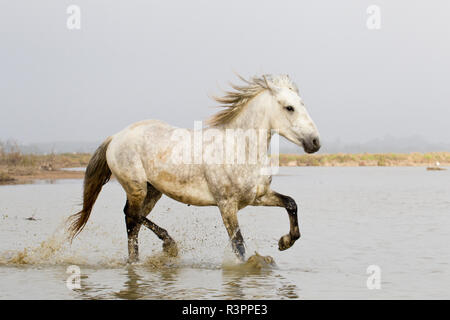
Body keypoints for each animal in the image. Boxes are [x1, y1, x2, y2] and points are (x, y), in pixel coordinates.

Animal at [67, 74, 320, 262]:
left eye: (302, 104)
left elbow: (291, 203)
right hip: (136, 187)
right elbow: (238, 245)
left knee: (134, 220)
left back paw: (142, 258)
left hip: (153, 191)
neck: (240, 148)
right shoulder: (226, 205)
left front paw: (285, 242)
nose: (315, 142)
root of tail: (116, 136)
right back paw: (164, 248)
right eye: (289, 108)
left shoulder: (258, 196)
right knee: (131, 216)